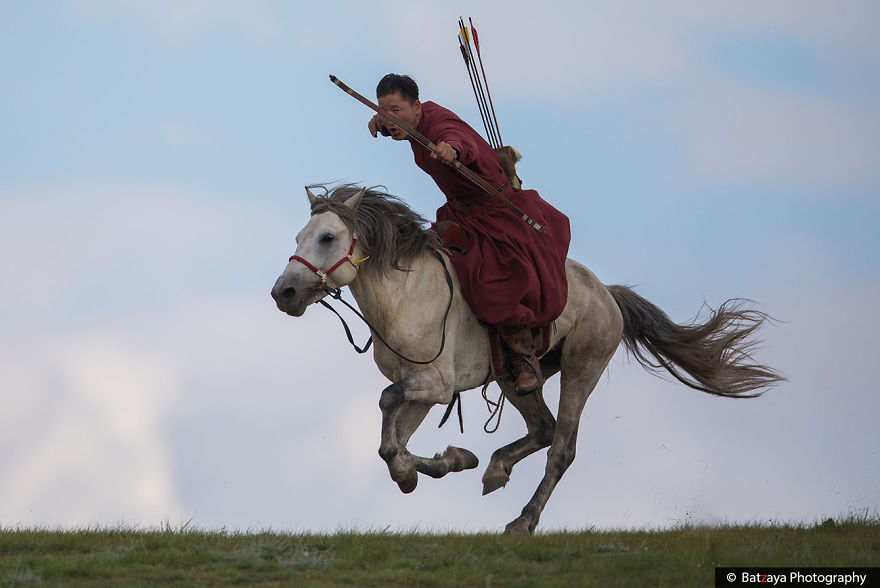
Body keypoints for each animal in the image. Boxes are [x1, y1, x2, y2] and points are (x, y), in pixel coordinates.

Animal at [270, 184, 784, 535]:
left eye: (328, 237)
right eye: (299, 235)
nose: (284, 292)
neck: (405, 293)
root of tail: (606, 294)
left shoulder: (435, 384)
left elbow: (385, 410)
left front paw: (414, 470)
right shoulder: (423, 390)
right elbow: (392, 438)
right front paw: (444, 462)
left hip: (581, 367)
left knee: (562, 447)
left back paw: (524, 520)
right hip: (515, 377)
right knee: (542, 428)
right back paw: (494, 468)